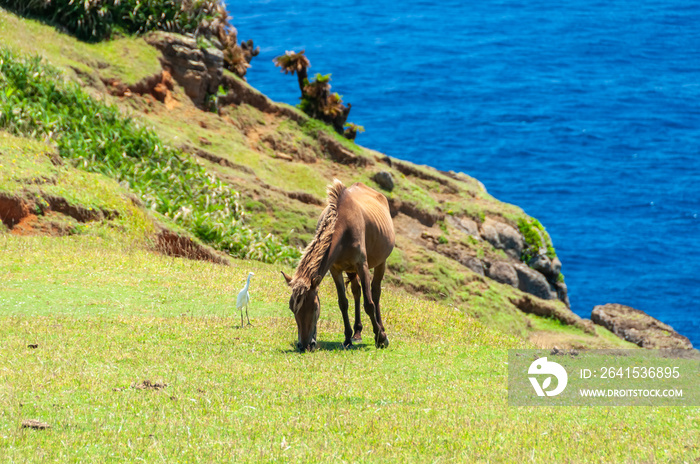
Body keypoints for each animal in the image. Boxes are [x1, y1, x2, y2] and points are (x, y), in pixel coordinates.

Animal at [282, 179, 396, 350]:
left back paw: (381, 330)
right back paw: (357, 333)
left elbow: (368, 304)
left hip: (380, 262)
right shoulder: (335, 269)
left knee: (375, 294)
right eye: (292, 308)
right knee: (356, 291)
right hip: (350, 269)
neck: (344, 226)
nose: (304, 345)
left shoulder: (362, 265)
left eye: (315, 308)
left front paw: (381, 338)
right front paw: (348, 338)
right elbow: (343, 303)